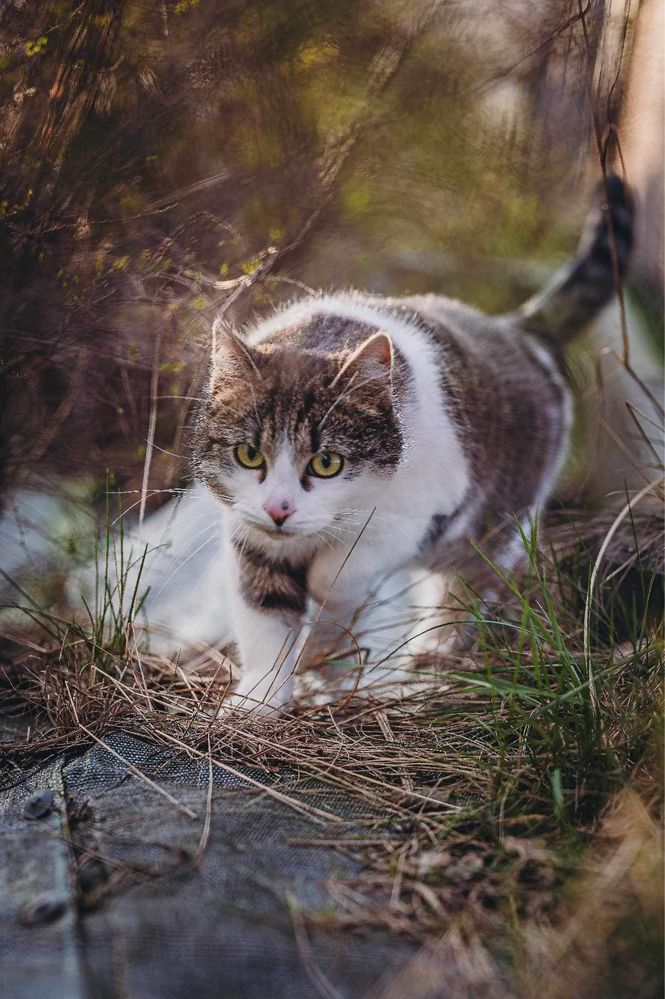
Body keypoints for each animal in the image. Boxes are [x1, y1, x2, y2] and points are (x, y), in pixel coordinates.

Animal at [188, 176, 632, 716]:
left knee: (466, 592)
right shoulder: (248, 531)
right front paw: (260, 701)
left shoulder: (420, 513)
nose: (279, 509)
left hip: (493, 529)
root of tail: (515, 329)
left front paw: (323, 641)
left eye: (327, 462)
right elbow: (265, 615)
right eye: (249, 455)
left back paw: (430, 662)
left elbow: (337, 577)